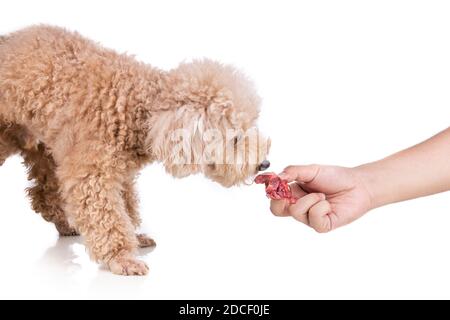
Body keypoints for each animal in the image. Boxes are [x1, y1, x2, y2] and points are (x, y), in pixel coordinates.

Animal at [0, 25, 270, 276]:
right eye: (235, 138)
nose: (264, 164)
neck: (135, 106)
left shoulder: (120, 173)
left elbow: (127, 206)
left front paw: (135, 237)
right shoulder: (92, 174)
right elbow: (108, 217)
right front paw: (121, 258)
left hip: (44, 147)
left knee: (43, 194)